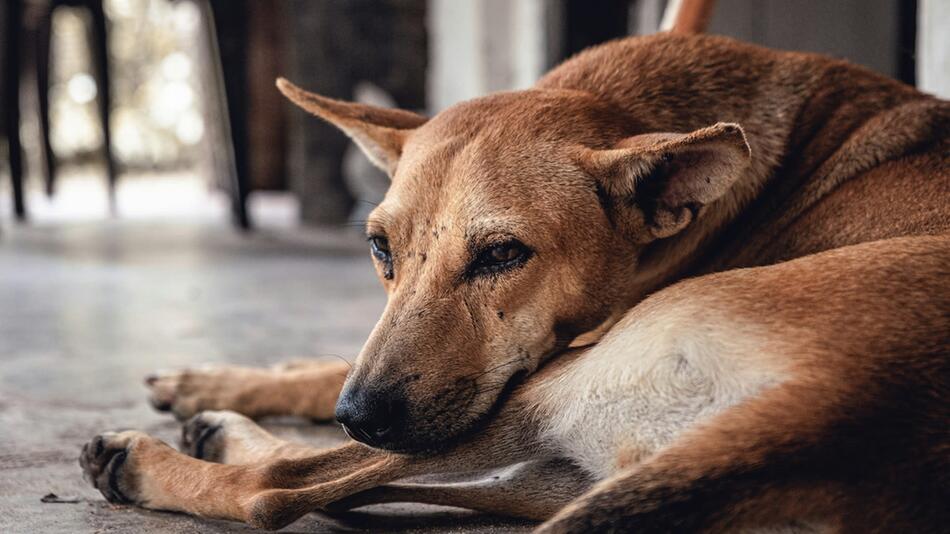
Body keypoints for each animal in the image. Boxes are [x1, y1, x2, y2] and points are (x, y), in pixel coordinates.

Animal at [78, 30, 948, 534]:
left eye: (502, 255)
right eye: (379, 248)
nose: (360, 415)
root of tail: (826, 418)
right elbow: (325, 370)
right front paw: (225, 377)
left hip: (538, 393)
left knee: (280, 487)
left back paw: (155, 459)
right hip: (551, 469)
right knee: (350, 489)